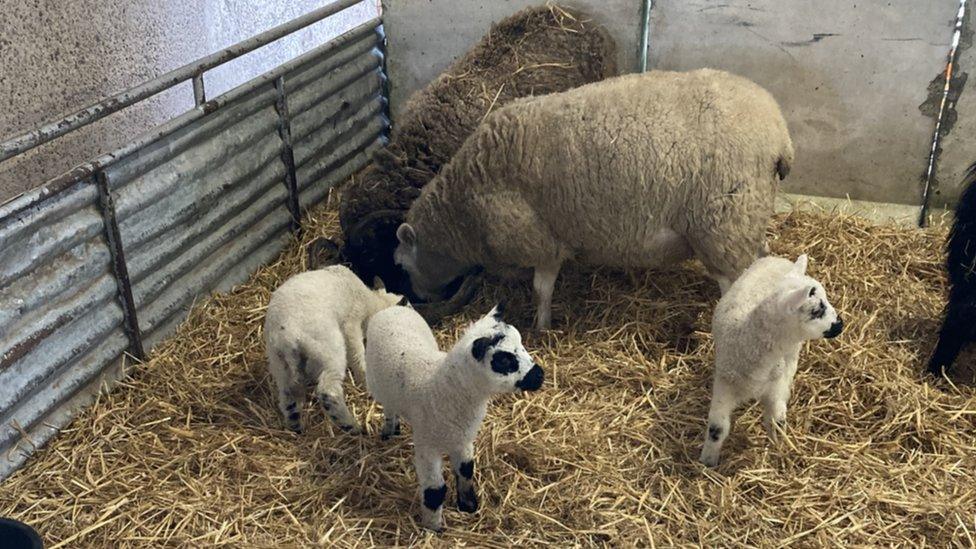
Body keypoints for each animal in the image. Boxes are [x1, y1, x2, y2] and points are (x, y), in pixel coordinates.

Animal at [264, 264, 400, 434]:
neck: (371, 301)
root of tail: (286, 337)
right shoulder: (351, 322)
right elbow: (356, 352)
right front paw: (364, 379)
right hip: (328, 348)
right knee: (328, 390)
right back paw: (350, 426)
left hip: (279, 363)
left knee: (287, 397)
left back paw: (295, 425)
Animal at [366, 304, 544, 532]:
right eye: (504, 360)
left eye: (521, 342)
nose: (539, 375)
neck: (442, 387)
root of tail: (394, 307)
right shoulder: (427, 447)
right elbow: (434, 491)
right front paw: (433, 529)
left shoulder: (463, 440)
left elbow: (466, 470)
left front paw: (468, 506)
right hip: (378, 386)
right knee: (389, 408)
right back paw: (390, 431)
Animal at [696, 254, 844, 466]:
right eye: (816, 311)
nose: (840, 324)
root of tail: (777, 258)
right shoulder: (725, 384)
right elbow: (717, 428)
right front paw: (707, 462)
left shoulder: (774, 385)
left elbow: (776, 421)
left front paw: (779, 448)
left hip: (791, 354)